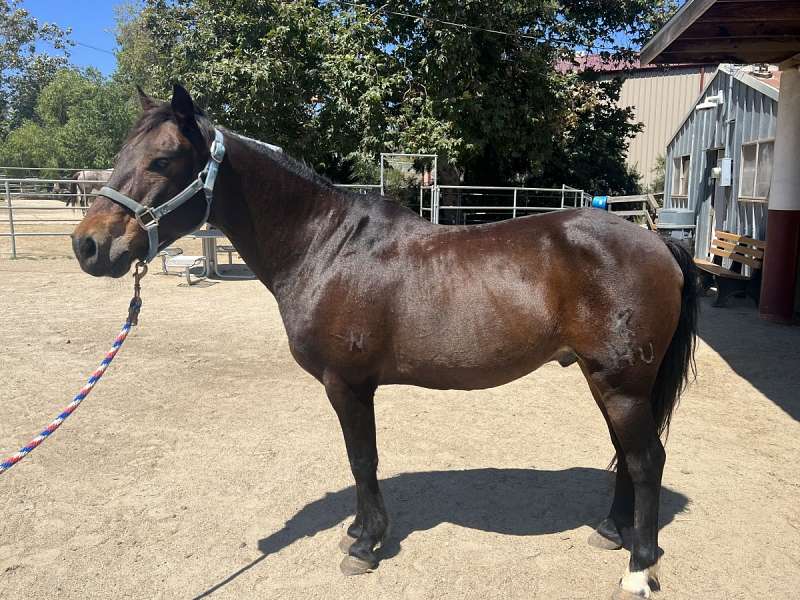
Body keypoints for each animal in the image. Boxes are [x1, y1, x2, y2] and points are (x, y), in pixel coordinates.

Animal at [72, 85, 696, 600]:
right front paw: (358, 530)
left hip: (621, 384)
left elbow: (362, 457)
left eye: (162, 160)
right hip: (607, 381)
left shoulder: (347, 384)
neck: (325, 247)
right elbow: (361, 460)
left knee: (646, 460)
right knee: (625, 456)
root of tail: (657, 243)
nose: (88, 246)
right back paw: (612, 531)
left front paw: (365, 544)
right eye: (122, 155)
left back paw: (638, 570)